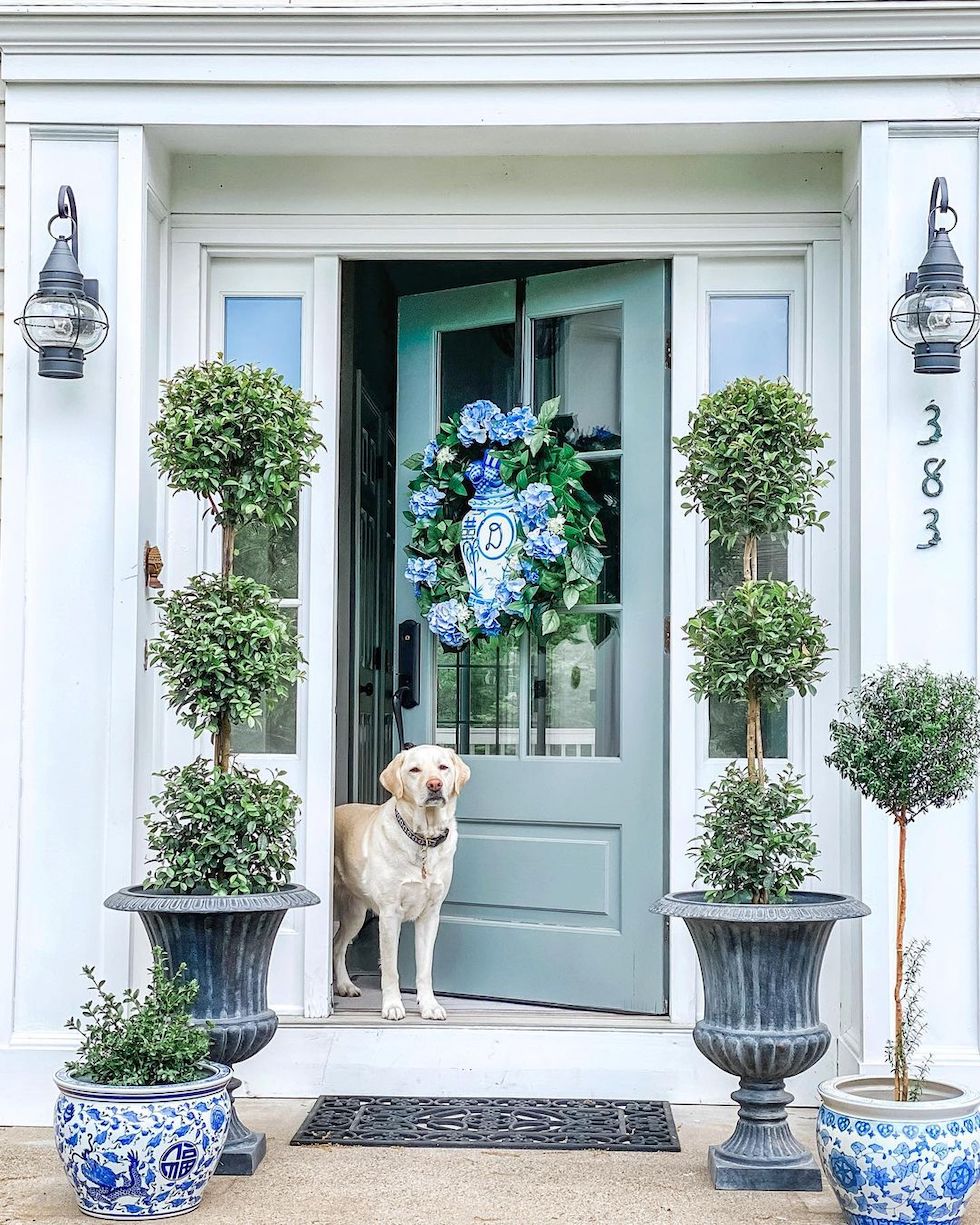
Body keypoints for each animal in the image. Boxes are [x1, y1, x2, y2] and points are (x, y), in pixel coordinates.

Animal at [333, 744, 470, 1024]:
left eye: (443, 767)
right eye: (414, 769)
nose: (435, 784)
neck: (424, 839)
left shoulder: (430, 916)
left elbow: (425, 968)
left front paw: (429, 1006)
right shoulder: (389, 915)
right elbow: (390, 969)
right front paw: (393, 1006)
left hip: (355, 914)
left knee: (337, 945)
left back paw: (345, 985)